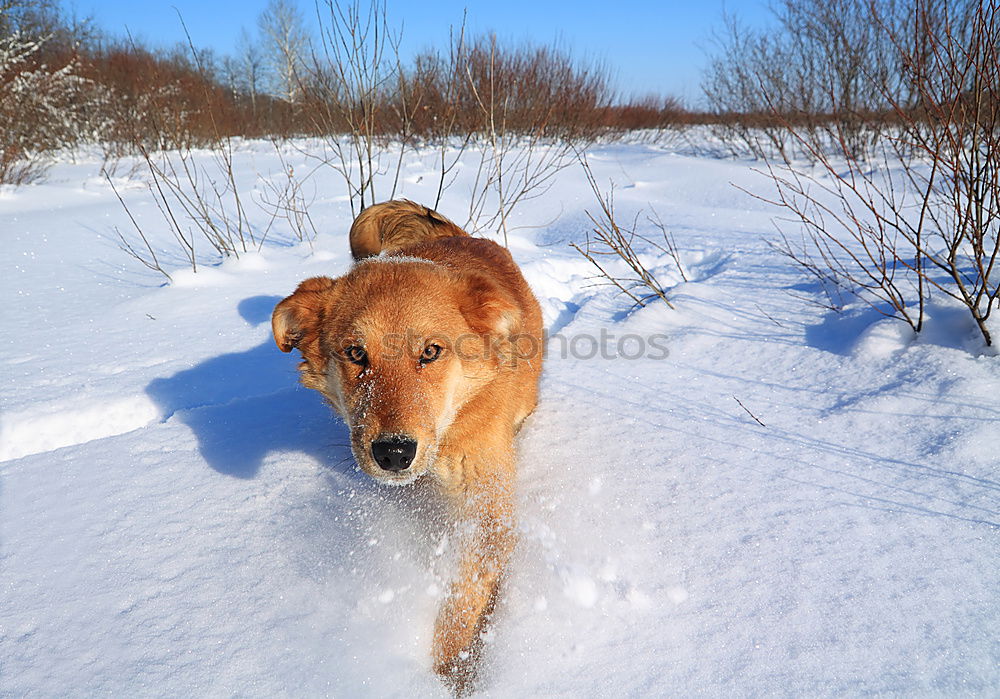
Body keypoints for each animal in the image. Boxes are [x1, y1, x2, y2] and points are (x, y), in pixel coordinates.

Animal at [270, 201, 544, 688]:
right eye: (356, 353)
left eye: (431, 352)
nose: (394, 453)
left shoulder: (488, 505)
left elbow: (464, 597)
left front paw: (449, 670)